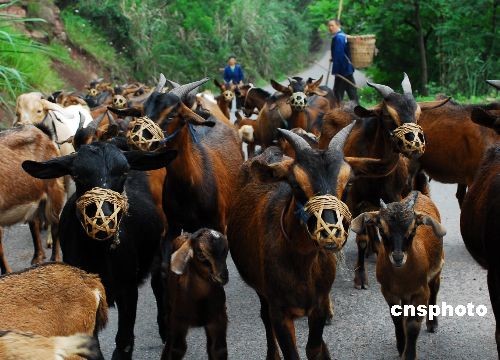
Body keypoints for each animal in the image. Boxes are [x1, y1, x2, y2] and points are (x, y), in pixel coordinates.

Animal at [0, 125, 65, 272]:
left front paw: (7, 273)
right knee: (34, 222)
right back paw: (37, 258)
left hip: (53, 191)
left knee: (55, 224)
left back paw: (55, 259)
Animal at [161, 229, 229, 358]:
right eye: (201, 254)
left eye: (225, 251)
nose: (223, 276)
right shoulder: (178, 321)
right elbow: (177, 349)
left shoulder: (217, 320)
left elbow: (218, 349)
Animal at [350, 191, 448, 360]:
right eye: (381, 229)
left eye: (413, 229)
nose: (397, 257)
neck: (401, 277)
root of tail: (420, 193)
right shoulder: (388, 291)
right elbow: (396, 318)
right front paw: (401, 346)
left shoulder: (420, 292)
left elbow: (413, 324)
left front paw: (409, 354)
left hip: (437, 269)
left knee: (434, 291)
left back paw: (432, 324)